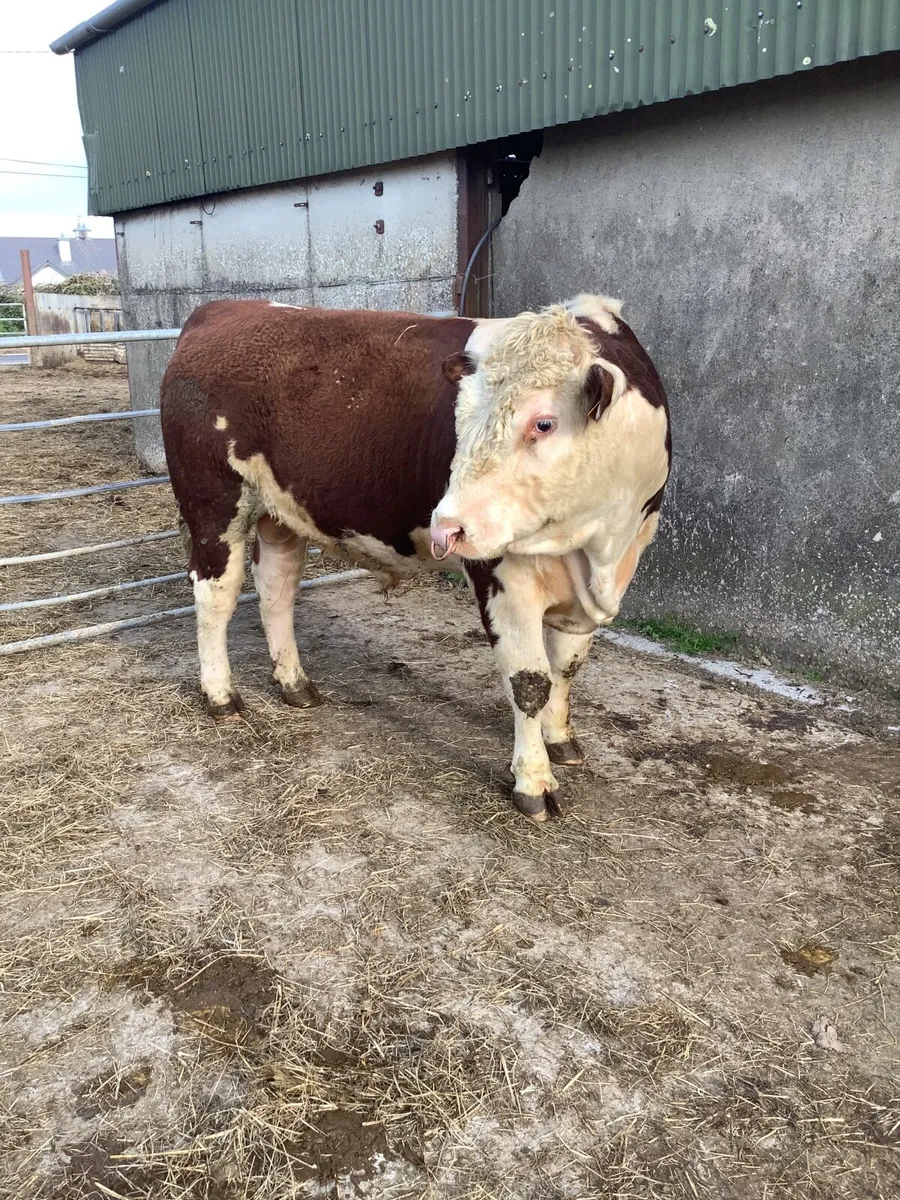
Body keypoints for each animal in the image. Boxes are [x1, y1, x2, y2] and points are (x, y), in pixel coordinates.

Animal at [160, 295, 670, 822]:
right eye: (458, 421)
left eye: (544, 422)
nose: (446, 527)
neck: (596, 548)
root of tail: (227, 307)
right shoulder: (502, 578)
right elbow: (529, 681)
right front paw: (534, 781)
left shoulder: (598, 583)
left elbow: (565, 668)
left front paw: (560, 739)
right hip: (213, 504)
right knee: (215, 597)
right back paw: (221, 695)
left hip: (279, 514)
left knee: (276, 592)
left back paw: (294, 684)